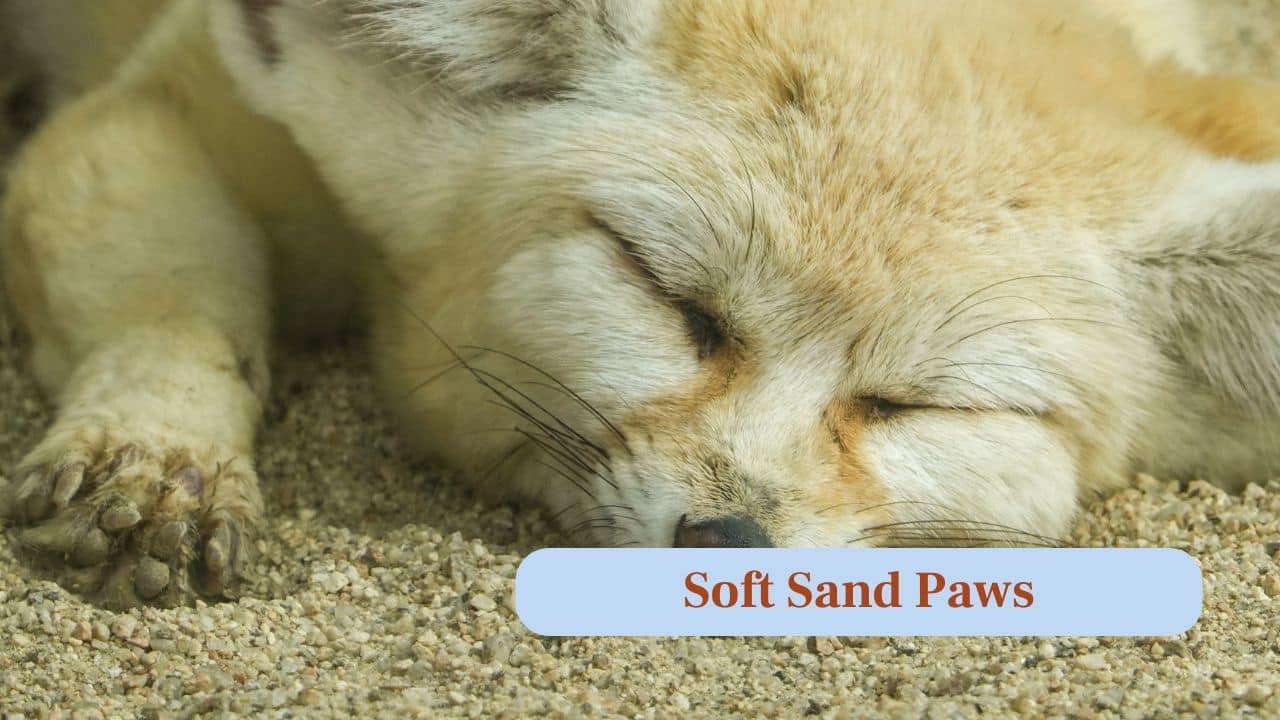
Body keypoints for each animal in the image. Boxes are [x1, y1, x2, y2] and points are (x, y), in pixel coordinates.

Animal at [0, 0, 1278, 608]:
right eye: (671, 299)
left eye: (916, 406)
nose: (727, 544)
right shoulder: (159, 113)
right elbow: (174, 302)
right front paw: (157, 460)